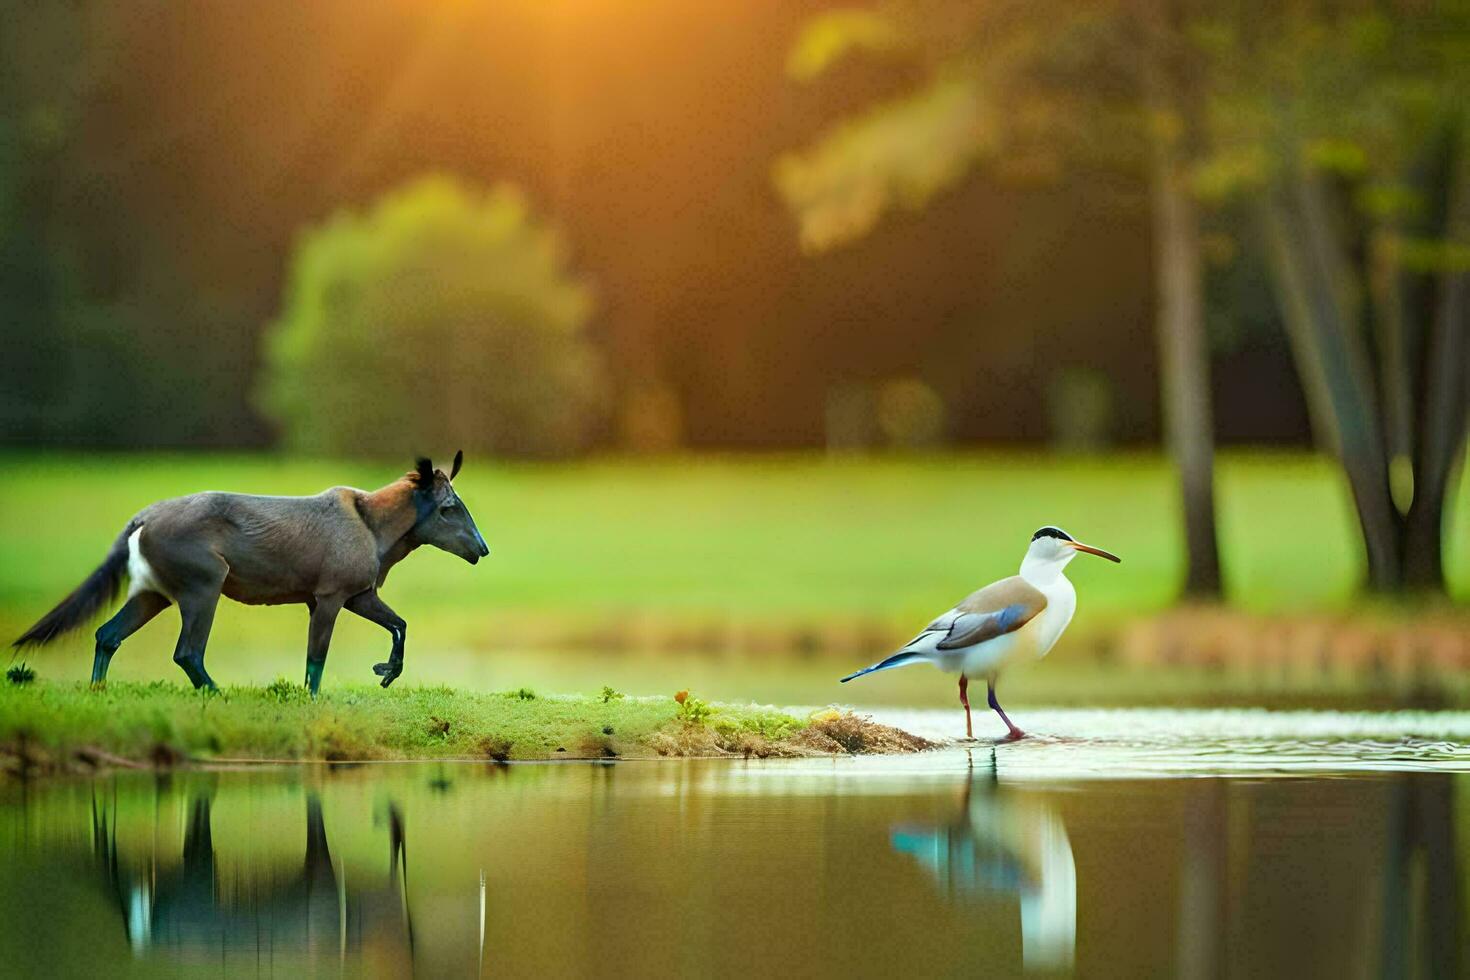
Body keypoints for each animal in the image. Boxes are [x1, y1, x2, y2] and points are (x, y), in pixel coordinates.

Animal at [10, 452, 488, 690]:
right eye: (448, 508)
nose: (481, 549)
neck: (378, 532)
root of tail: (141, 518)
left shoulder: (358, 594)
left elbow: (400, 625)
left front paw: (386, 672)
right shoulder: (329, 595)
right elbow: (316, 660)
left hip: (152, 592)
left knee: (106, 634)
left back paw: (99, 691)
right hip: (203, 585)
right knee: (187, 652)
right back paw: (218, 693)